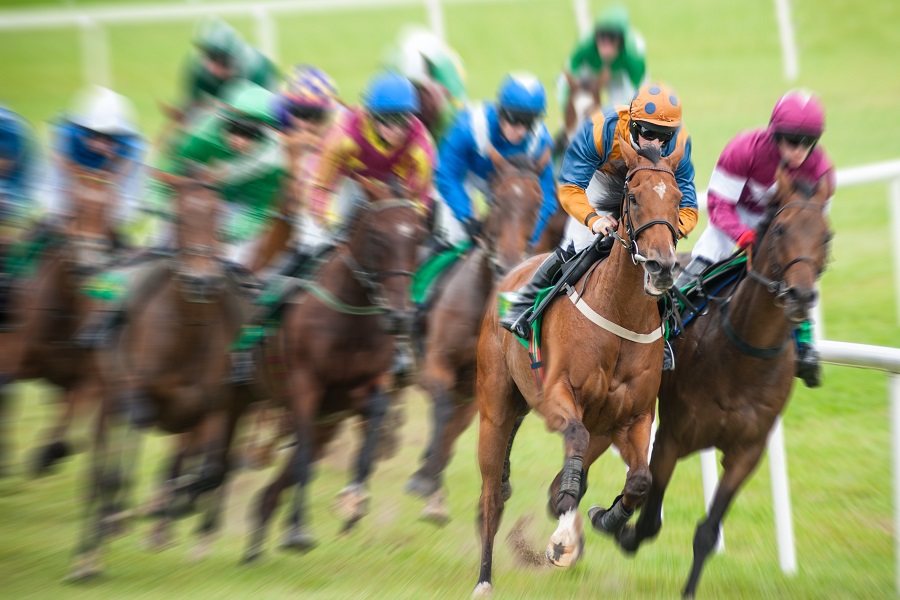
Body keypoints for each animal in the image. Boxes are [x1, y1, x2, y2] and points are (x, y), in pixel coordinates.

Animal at [243, 193, 428, 564]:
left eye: (418, 238)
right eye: (377, 238)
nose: (401, 318)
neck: (349, 317)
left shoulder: (361, 391)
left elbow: (369, 440)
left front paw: (353, 503)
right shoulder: (305, 386)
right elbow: (302, 460)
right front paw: (298, 530)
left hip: (326, 425)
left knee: (280, 478)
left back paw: (255, 541)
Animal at [406, 156, 544, 520]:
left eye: (537, 204)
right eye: (495, 200)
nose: (507, 265)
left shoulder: (475, 387)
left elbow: (456, 429)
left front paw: (431, 485)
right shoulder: (437, 363)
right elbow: (441, 411)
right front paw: (429, 485)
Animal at [472, 142, 684, 596]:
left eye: (678, 200)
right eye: (633, 197)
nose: (660, 267)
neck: (620, 313)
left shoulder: (633, 418)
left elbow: (640, 479)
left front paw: (604, 518)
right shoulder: (559, 396)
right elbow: (574, 442)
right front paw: (562, 541)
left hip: (597, 430)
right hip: (495, 408)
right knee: (491, 494)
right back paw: (484, 579)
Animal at [616, 171, 832, 596]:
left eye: (827, 236)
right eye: (780, 229)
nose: (800, 296)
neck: (742, 355)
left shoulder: (747, 451)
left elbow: (707, 531)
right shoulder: (672, 437)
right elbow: (649, 519)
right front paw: (619, 528)